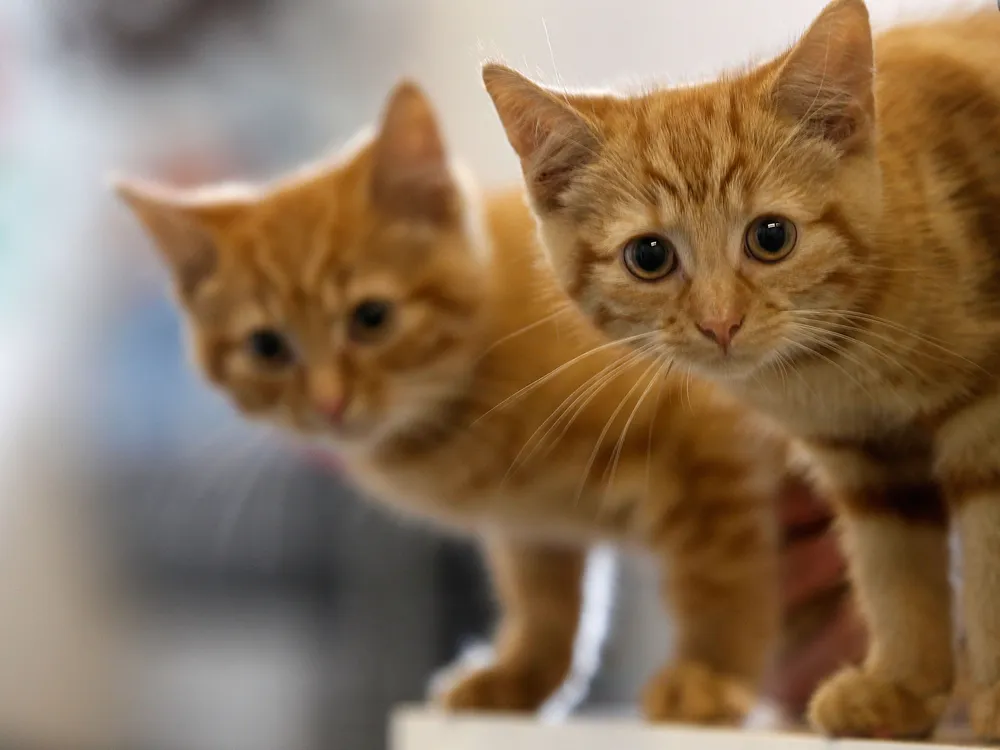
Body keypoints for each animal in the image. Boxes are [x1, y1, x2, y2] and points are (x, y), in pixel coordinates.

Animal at [113, 82, 808, 728]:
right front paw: (521, 677)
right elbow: (545, 604)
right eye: (267, 347)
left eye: (371, 318)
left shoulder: (711, 442)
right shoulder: (534, 524)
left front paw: (709, 674)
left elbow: (719, 576)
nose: (330, 403)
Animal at [484, 0, 1000, 744]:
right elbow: (896, 572)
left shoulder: (985, 424)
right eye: (648, 256)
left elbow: (988, 567)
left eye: (771, 237)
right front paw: (902, 687)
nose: (720, 323)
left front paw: (994, 701)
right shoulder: (867, 459)